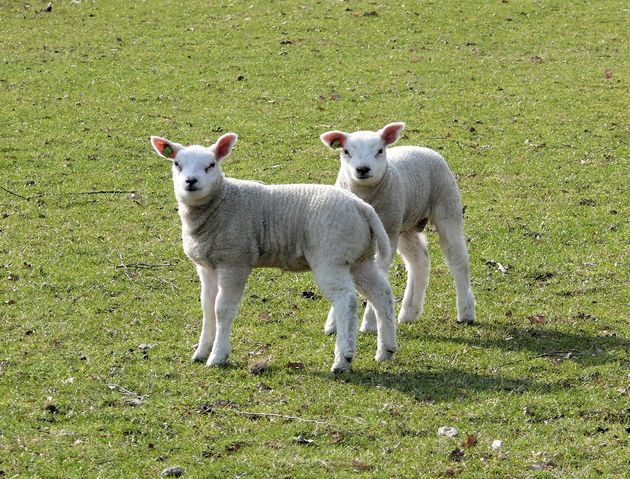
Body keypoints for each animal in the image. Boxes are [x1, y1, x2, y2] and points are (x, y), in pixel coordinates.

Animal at [149, 133, 396, 374]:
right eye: (177, 164)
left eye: (211, 165)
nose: (190, 181)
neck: (221, 202)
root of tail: (362, 207)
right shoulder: (206, 265)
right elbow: (207, 307)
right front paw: (201, 352)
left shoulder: (235, 260)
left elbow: (222, 309)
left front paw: (218, 357)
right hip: (359, 259)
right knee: (381, 293)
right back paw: (386, 350)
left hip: (331, 257)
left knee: (347, 301)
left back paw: (343, 360)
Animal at [324, 123, 476, 334]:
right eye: (346, 151)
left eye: (380, 150)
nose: (362, 169)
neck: (366, 198)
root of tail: (422, 148)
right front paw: (333, 323)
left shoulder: (387, 234)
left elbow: (379, 275)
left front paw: (370, 323)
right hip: (406, 224)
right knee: (419, 260)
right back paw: (409, 312)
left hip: (446, 206)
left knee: (458, 259)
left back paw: (466, 311)